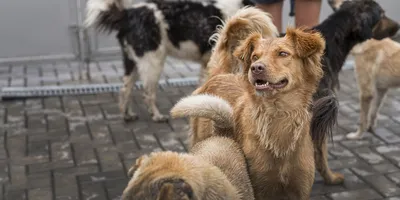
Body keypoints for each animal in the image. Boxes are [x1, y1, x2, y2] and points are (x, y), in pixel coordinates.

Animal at [84, 0, 262, 122]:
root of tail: (128, 15)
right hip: (153, 62)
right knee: (147, 93)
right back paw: (156, 116)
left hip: (132, 61)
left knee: (125, 89)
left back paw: (127, 115)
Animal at [170, 28, 326, 200]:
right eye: (255, 57)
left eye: (283, 54)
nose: (256, 68)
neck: (278, 114)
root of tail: (219, 75)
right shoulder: (258, 187)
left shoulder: (301, 188)